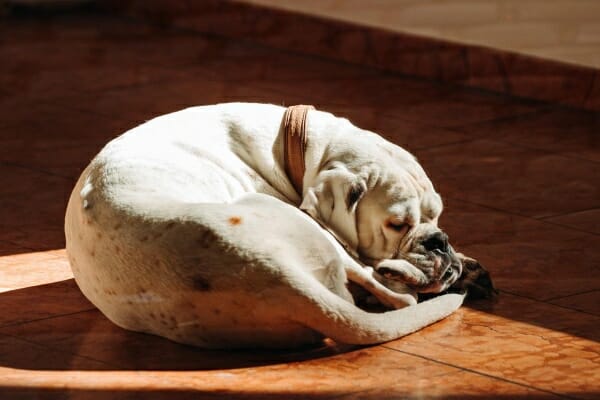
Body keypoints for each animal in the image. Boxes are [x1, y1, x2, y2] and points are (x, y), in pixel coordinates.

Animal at [64, 103, 468, 350]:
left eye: (437, 214)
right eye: (397, 225)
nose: (440, 241)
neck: (299, 147)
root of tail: (280, 279)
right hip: (297, 222)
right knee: (396, 293)